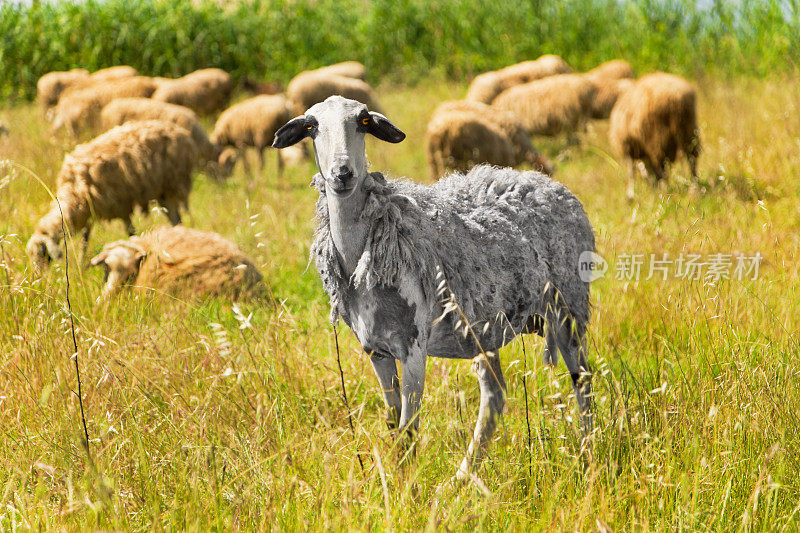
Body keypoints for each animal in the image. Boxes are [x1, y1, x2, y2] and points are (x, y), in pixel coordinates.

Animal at [27, 122, 200, 268]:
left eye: (43, 253)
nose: (39, 279)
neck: (74, 195)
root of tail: (180, 131)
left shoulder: (121, 206)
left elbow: (130, 232)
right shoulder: (90, 212)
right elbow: (85, 240)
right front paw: (82, 264)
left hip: (173, 185)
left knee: (176, 219)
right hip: (164, 192)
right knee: (176, 219)